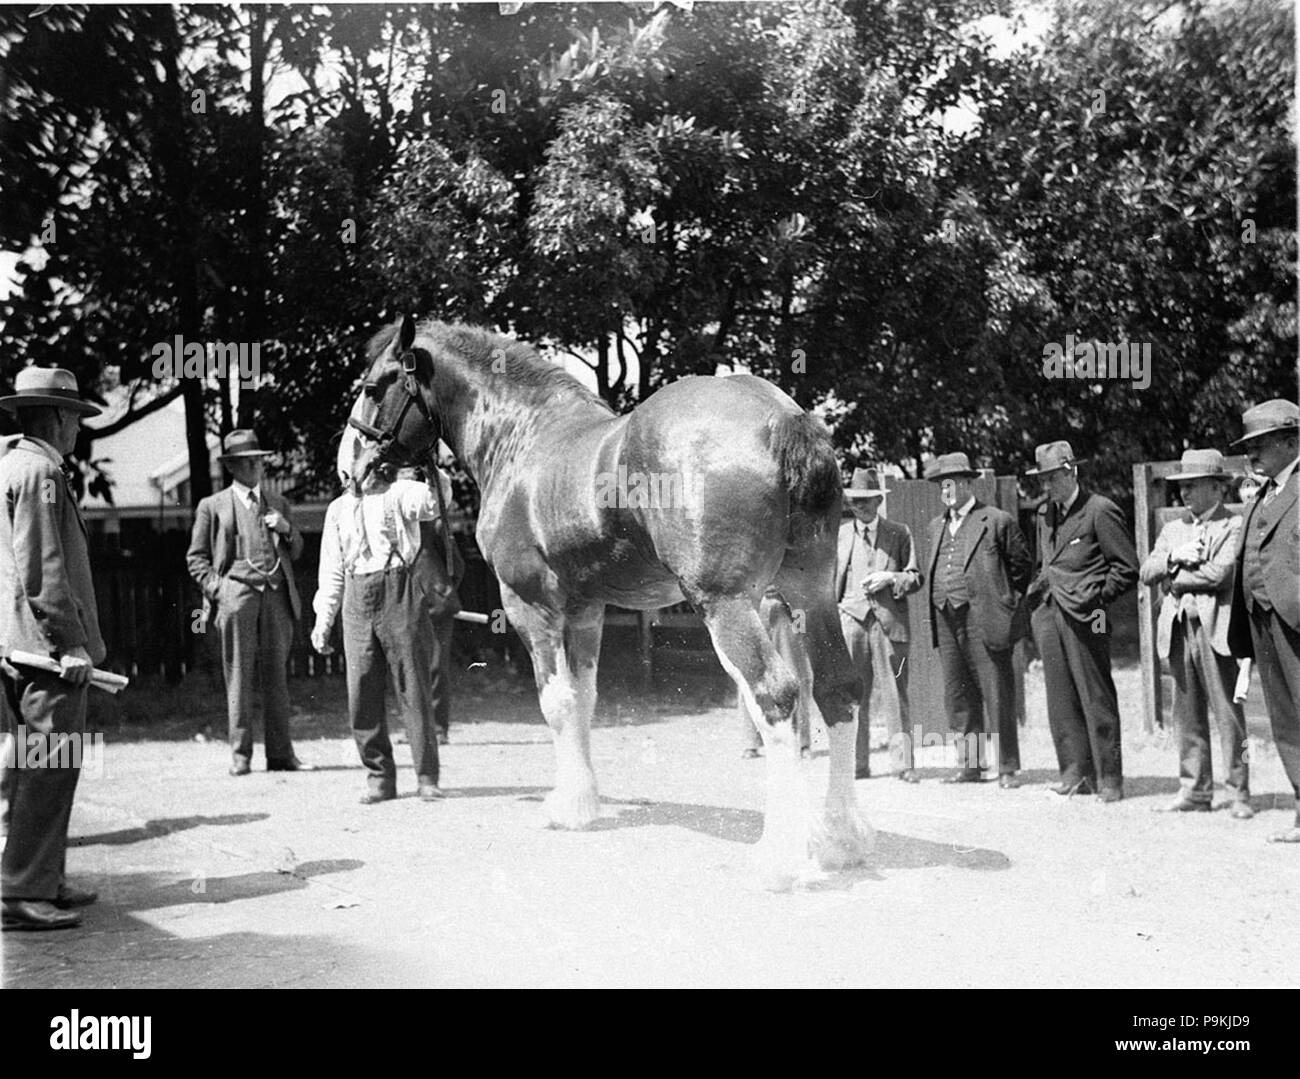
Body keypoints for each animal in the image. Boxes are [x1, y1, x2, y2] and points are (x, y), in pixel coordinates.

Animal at [339, 315, 873, 888]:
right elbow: (585, 700)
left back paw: (779, 857)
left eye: (373, 387)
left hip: (726, 603)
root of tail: (780, 419)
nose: (349, 467)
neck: (522, 438)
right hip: (810, 592)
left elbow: (557, 702)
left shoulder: (531, 607)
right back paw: (842, 838)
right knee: (838, 688)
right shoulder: (585, 611)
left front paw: (565, 807)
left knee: (776, 695)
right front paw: (585, 798)